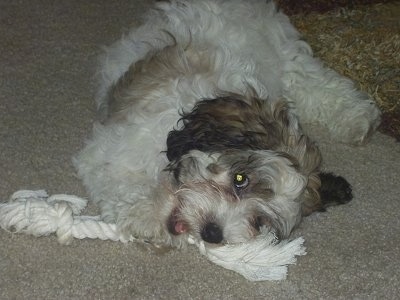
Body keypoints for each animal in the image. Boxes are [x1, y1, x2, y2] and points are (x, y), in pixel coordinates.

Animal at [74, 0, 378, 248]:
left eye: (259, 221)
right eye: (240, 179)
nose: (213, 233)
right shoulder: (113, 150)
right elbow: (120, 179)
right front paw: (147, 214)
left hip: (287, 57)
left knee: (317, 84)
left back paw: (357, 118)